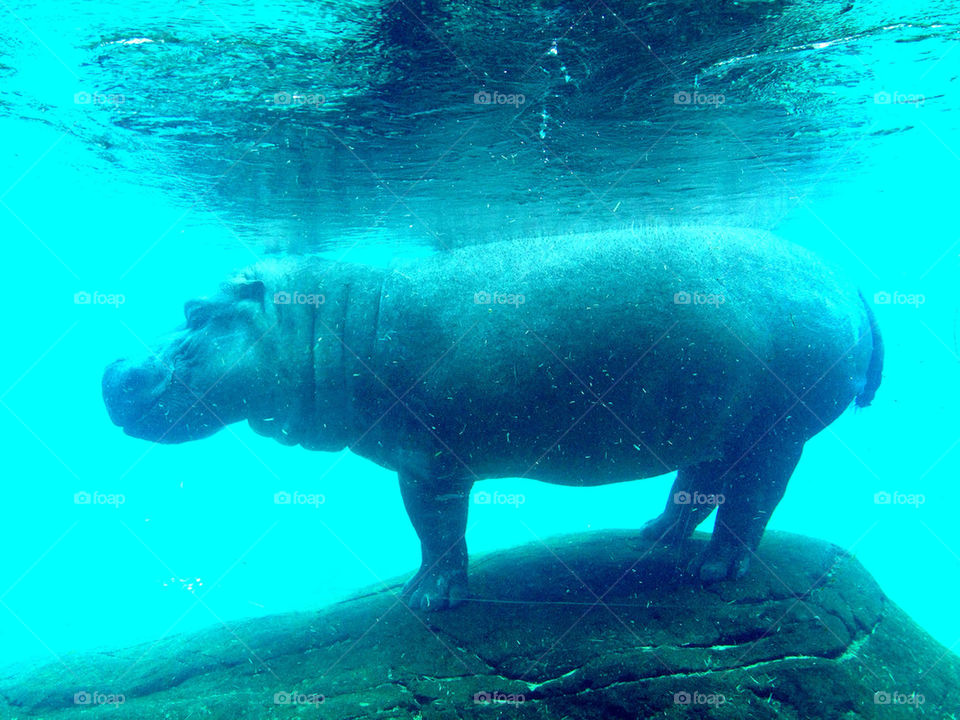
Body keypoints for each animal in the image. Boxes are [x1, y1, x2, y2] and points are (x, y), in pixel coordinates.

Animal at [103, 226, 883, 610]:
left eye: (194, 312)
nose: (111, 374)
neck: (333, 319)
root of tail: (850, 282)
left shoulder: (428, 463)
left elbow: (436, 533)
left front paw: (426, 602)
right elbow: (436, 535)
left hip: (775, 429)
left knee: (753, 498)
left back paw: (712, 572)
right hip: (711, 420)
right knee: (701, 482)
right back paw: (650, 537)